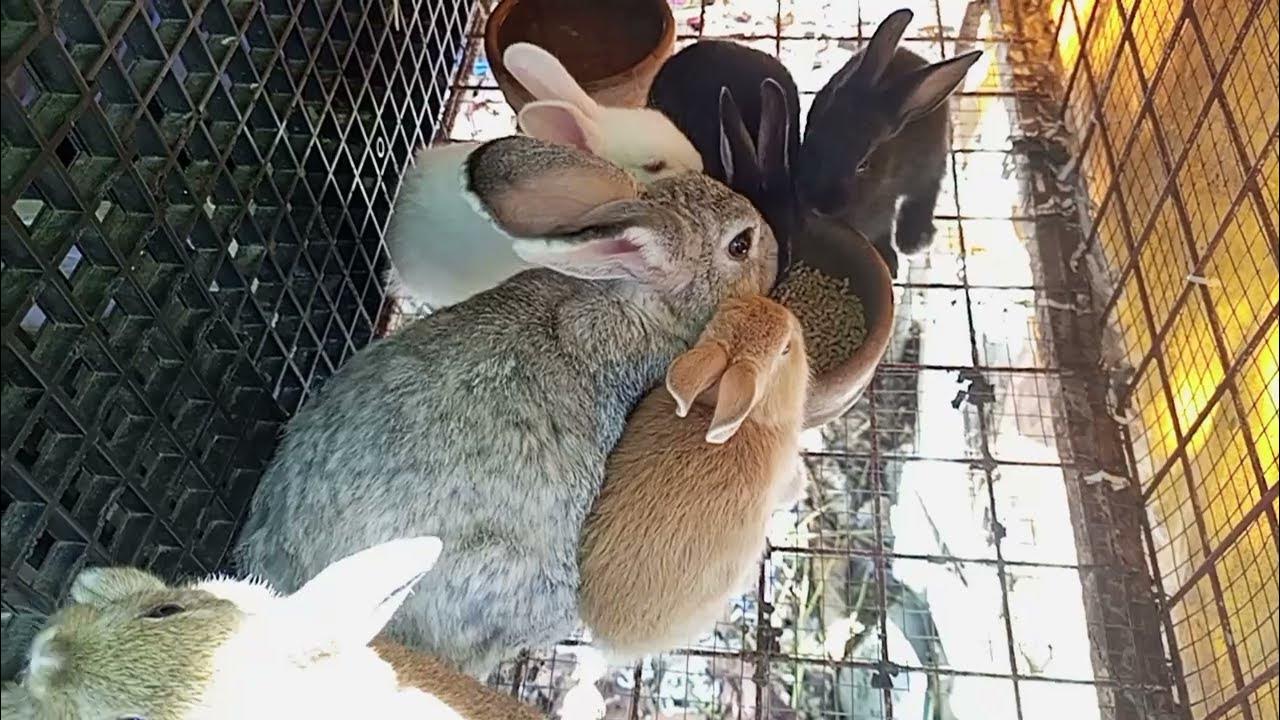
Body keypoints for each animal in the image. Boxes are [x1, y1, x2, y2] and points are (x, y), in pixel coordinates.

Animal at [795, 8, 982, 277]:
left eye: (863, 165)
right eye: (811, 133)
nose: (817, 203)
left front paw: (891, 264)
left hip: (932, 161)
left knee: (926, 190)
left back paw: (914, 239)